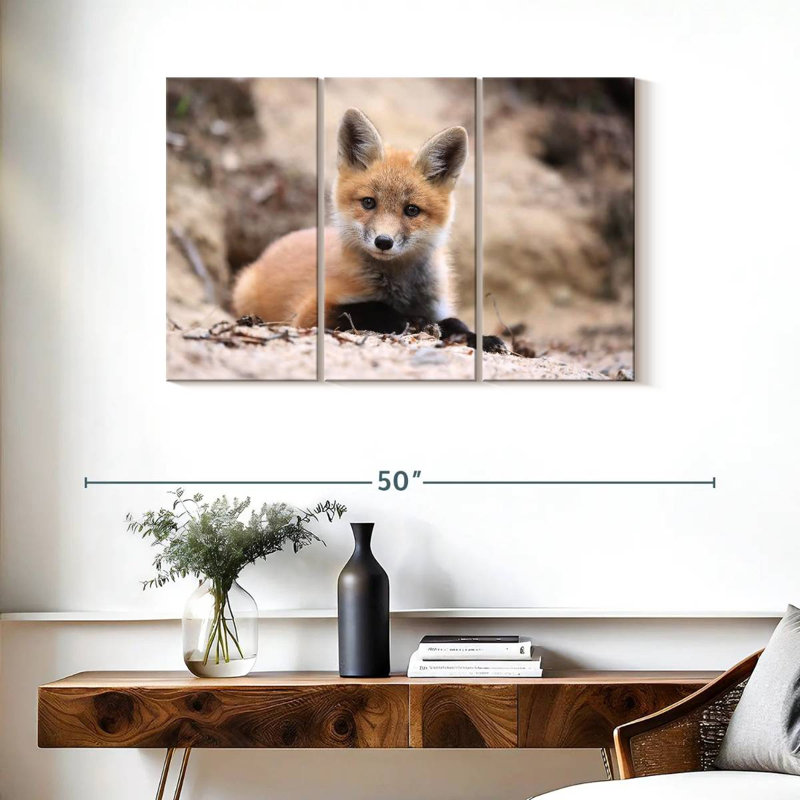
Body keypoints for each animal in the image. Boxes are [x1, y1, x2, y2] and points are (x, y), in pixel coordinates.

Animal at [232, 108, 505, 352]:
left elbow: (456, 322)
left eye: (412, 210)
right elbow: (370, 309)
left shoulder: (437, 306)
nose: (383, 241)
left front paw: (483, 339)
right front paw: (412, 321)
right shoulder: (309, 312)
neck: (400, 289)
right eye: (368, 202)